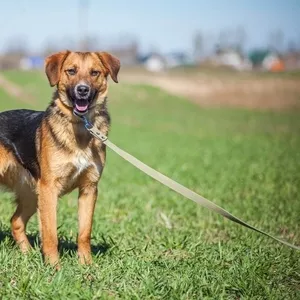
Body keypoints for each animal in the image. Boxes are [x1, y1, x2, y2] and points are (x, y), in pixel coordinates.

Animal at [0, 50, 119, 266]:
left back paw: (27, 254)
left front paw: (86, 265)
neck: (80, 127)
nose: (83, 90)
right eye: (71, 71)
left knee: (16, 222)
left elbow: (84, 233)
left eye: (94, 72)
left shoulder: (89, 188)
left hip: (32, 195)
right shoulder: (50, 189)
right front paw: (54, 267)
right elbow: (50, 234)